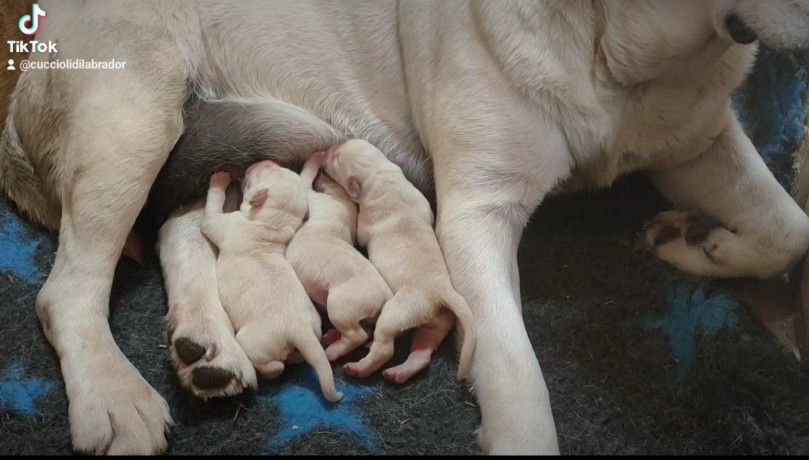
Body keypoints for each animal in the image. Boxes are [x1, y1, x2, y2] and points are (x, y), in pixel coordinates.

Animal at [204, 163, 342, 402]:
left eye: (263, 172)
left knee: (274, 366)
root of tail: (299, 329)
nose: (266, 160)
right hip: (314, 327)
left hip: (252, 340)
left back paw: (266, 371)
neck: (270, 224)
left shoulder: (223, 222)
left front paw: (219, 180)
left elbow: (211, 209)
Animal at [288, 156, 394, 364]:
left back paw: (332, 351)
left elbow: (305, 177)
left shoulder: (311, 195)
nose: (324, 170)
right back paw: (332, 336)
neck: (340, 199)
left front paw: (316, 157)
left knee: (358, 335)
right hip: (358, 314)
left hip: (340, 305)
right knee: (366, 331)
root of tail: (386, 298)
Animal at [318, 141, 480, 384]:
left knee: (384, 347)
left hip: (398, 311)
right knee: (422, 352)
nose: (326, 150)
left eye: (335, 160)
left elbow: (360, 233)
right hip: (436, 323)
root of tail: (442, 293)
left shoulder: (365, 221)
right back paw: (398, 373)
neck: (381, 175)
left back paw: (358, 367)